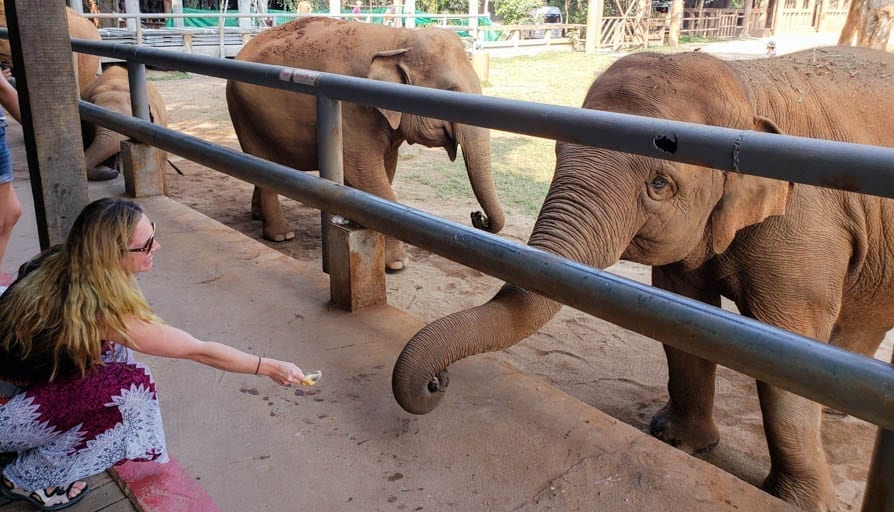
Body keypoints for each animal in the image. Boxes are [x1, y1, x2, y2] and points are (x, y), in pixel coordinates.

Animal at [226, 16, 504, 272]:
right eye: (450, 92)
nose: (477, 216)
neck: (397, 39)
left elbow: (385, 172)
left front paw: (359, 225)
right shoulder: (352, 111)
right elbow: (365, 173)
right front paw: (397, 264)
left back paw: (257, 215)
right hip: (242, 110)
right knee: (258, 160)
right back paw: (281, 235)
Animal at [392, 46, 894, 510]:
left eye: (659, 185)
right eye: (556, 152)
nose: (438, 382)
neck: (744, 85)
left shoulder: (806, 228)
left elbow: (788, 349)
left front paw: (797, 502)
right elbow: (683, 320)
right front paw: (675, 441)